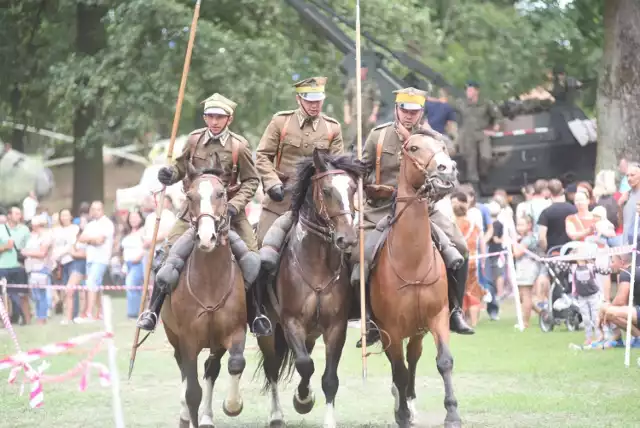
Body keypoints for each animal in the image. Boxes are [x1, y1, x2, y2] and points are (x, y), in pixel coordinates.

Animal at [160, 164, 248, 428]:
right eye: (190, 197)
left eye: (221, 194)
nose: (206, 237)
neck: (210, 281)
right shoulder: (188, 340)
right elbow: (192, 392)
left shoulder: (235, 332)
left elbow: (236, 363)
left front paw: (232, 405)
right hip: (174, 337)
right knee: (184, 371)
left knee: (211, 368)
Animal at [256, 150, 364, 428]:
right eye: (326, 190)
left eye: (352, 189)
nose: (348, 238)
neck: (317, 263)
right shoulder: (291, 322)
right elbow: (304, 364)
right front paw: (302, 400)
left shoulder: (335, 327)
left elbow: (329, 377)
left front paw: (324, 414)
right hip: (268, 329)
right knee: (272, 367)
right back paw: (276, 414)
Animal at [370, 133, 460, 428]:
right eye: (413, 148)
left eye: (443, 146)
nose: (447, 168)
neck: (413, 262)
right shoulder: (391, 329)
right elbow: (398, 369)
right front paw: (402, 415)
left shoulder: (438, 316)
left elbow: (444, 361)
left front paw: (452, 413)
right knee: (399, 364)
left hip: (418, 330)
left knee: (414, 357)